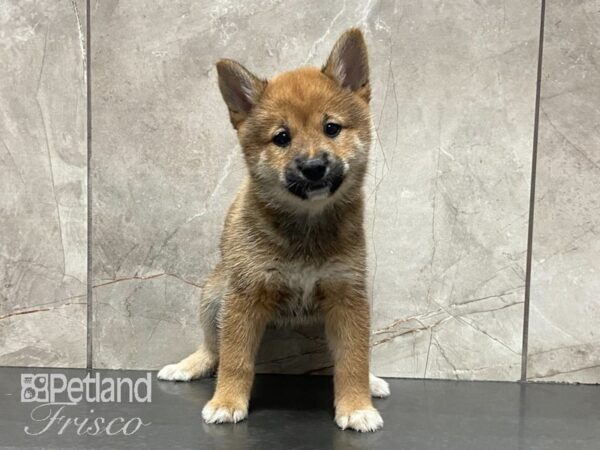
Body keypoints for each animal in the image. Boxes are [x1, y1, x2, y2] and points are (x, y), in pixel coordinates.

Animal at [158, 28, 390, 432]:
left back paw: (372, 381)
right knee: (213, 347)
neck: (306, 228)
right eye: (282, 137)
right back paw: (188, 365)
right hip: (213, 297)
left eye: (331, 128)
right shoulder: (244, 296)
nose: (313, 167)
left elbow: (353, 359)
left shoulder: (347, 296)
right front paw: (227, 401)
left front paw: (356, 405)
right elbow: (235, 359)